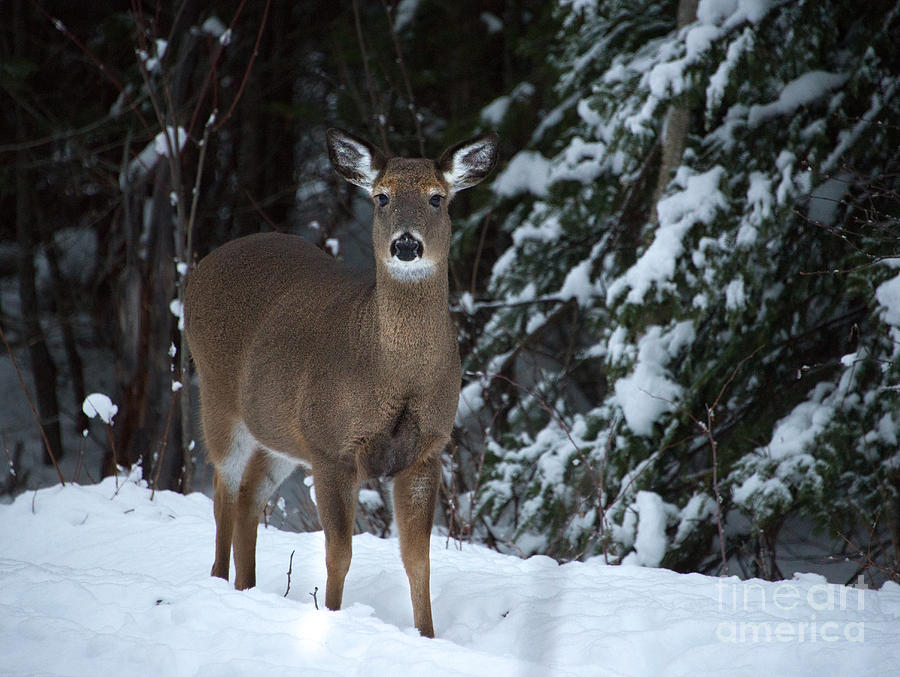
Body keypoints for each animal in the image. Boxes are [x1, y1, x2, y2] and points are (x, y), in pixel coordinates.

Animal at [183, 128, 500, 640]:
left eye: (437, 198)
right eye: (381, 197)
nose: (406, 245)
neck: (394, 373)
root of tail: (202, 266)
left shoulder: (426, 450)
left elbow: (419, 559)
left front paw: (427, 636)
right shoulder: (332, 446)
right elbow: (339, 554)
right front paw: (331, 616)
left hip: (282, 431)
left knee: (250, 495)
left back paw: (246, 586)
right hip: (217, 393)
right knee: (223, 489)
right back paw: (217, 580)